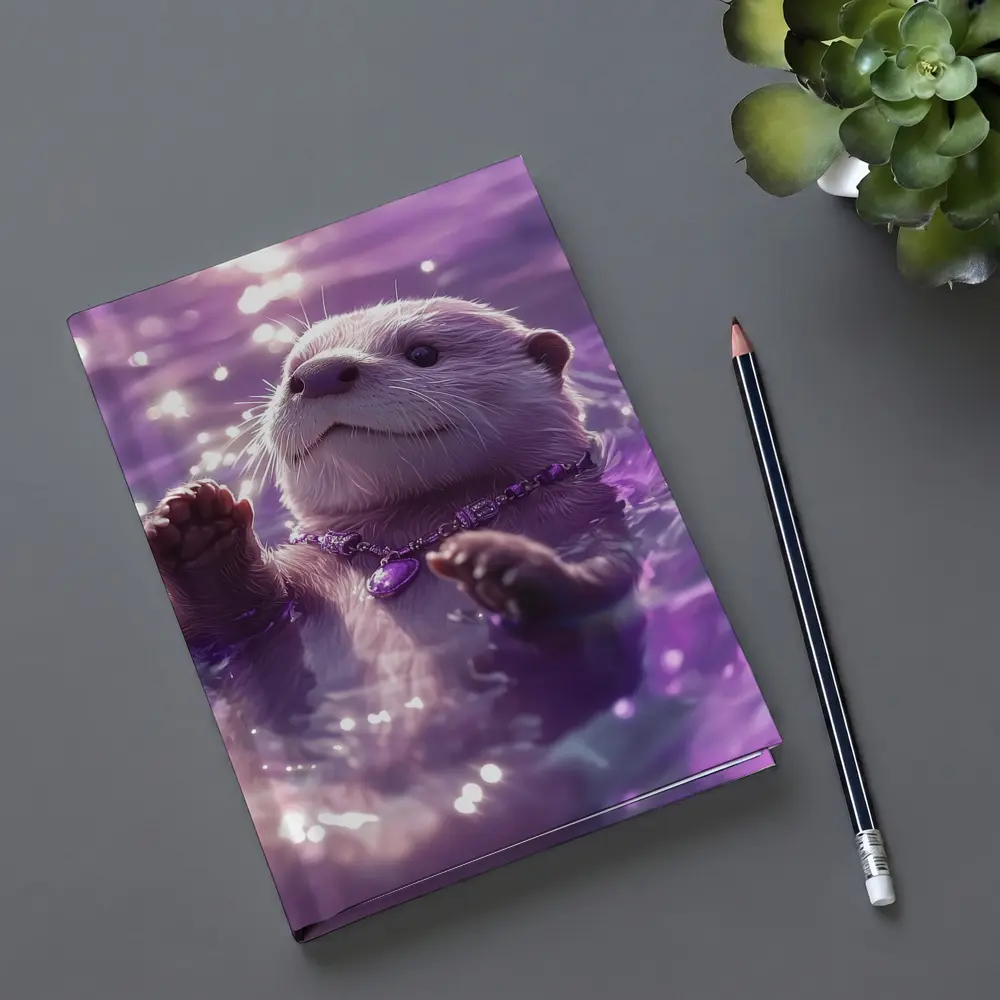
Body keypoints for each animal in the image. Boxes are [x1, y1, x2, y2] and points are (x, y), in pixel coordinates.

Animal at [144, 297, 642, 773]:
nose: (319, 374)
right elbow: (224, 622)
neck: (405, 541)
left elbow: (605, 585)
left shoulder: (594, 524)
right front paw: (198, 526)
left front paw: (501, 564)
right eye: (292, 370)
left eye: (423, 353)